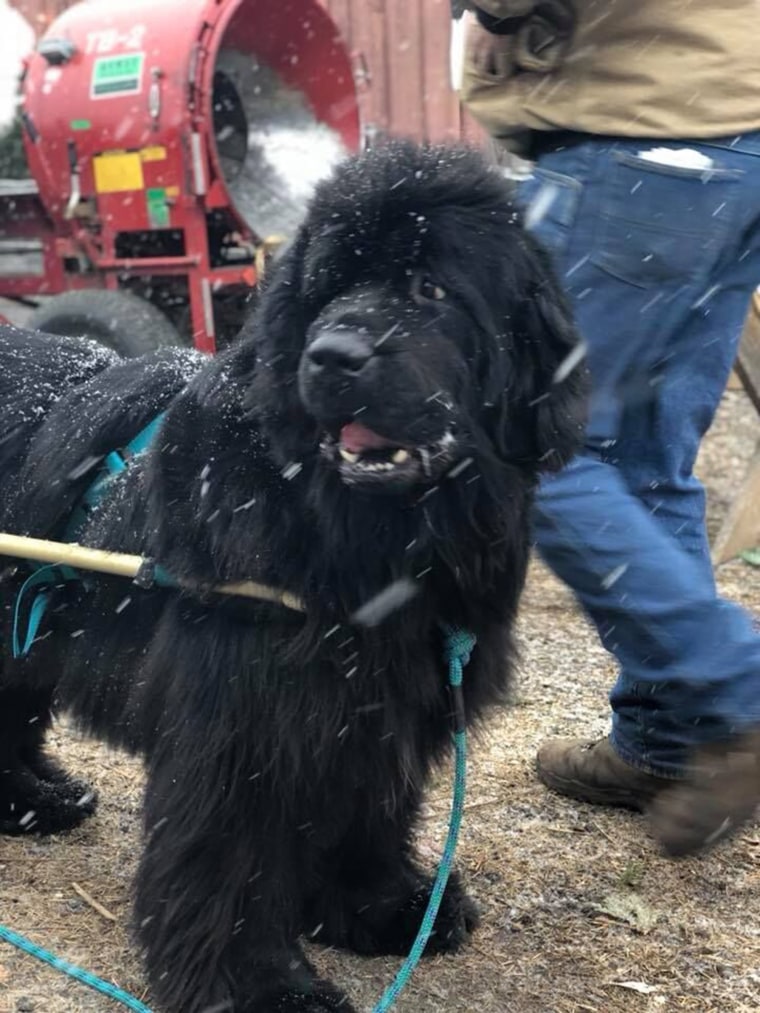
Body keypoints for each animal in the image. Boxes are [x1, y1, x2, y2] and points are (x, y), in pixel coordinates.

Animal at [0, 144, 587, 1013]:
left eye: (430, 289)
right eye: (326, 290)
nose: (333, 356)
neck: (361, 544)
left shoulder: (384, 701)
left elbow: (369, 808)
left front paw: (381, 907)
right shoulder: (244, 717)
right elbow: (230, 856)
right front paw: (257, 986)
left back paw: (36, 801)